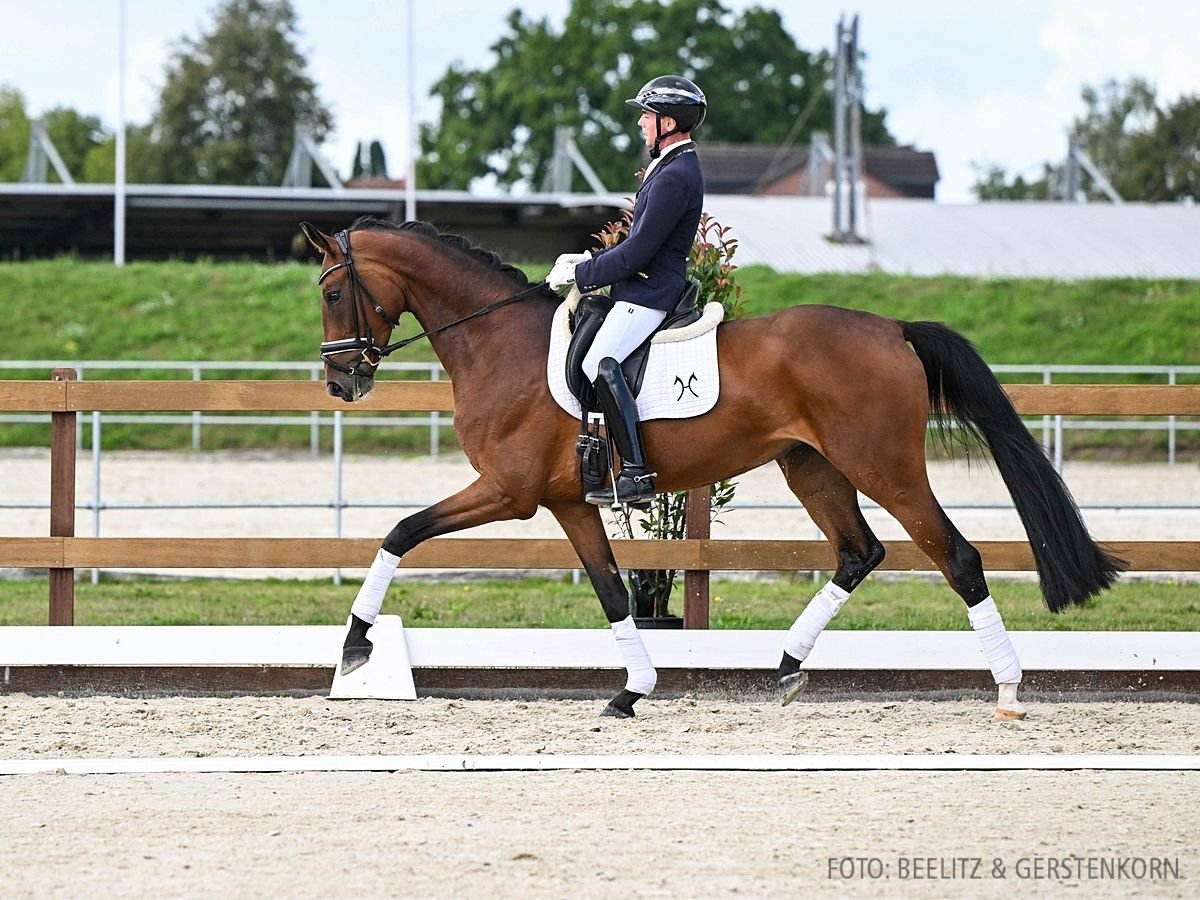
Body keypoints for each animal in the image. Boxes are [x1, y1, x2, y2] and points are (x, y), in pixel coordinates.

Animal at [300, 217, 1123, 720]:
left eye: (334, 291)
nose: (342, 384)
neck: (499, 342)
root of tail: (891, 329)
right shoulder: (568, 502)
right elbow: (612, 592)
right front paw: (632, 691)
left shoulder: (508, 491)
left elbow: (401, 532)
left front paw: (356, 644)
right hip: (812, 469)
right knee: (860, 552)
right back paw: (786, 664)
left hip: (883, 466)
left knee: (957, 556)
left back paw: (1009, 689)